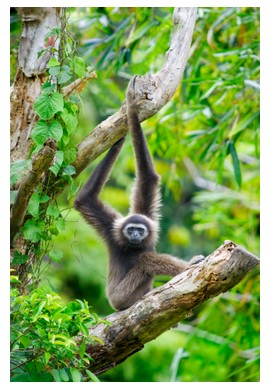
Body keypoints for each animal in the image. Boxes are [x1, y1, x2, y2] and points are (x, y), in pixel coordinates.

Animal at [74, 74, 205, 310]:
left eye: (140, 230)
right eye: (131, 230)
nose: (135, 235)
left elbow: (147, 177)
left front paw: (122, 133)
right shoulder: (111, 229)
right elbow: (84, 200)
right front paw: (131, 104)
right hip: (121, 297)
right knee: (146, 261)